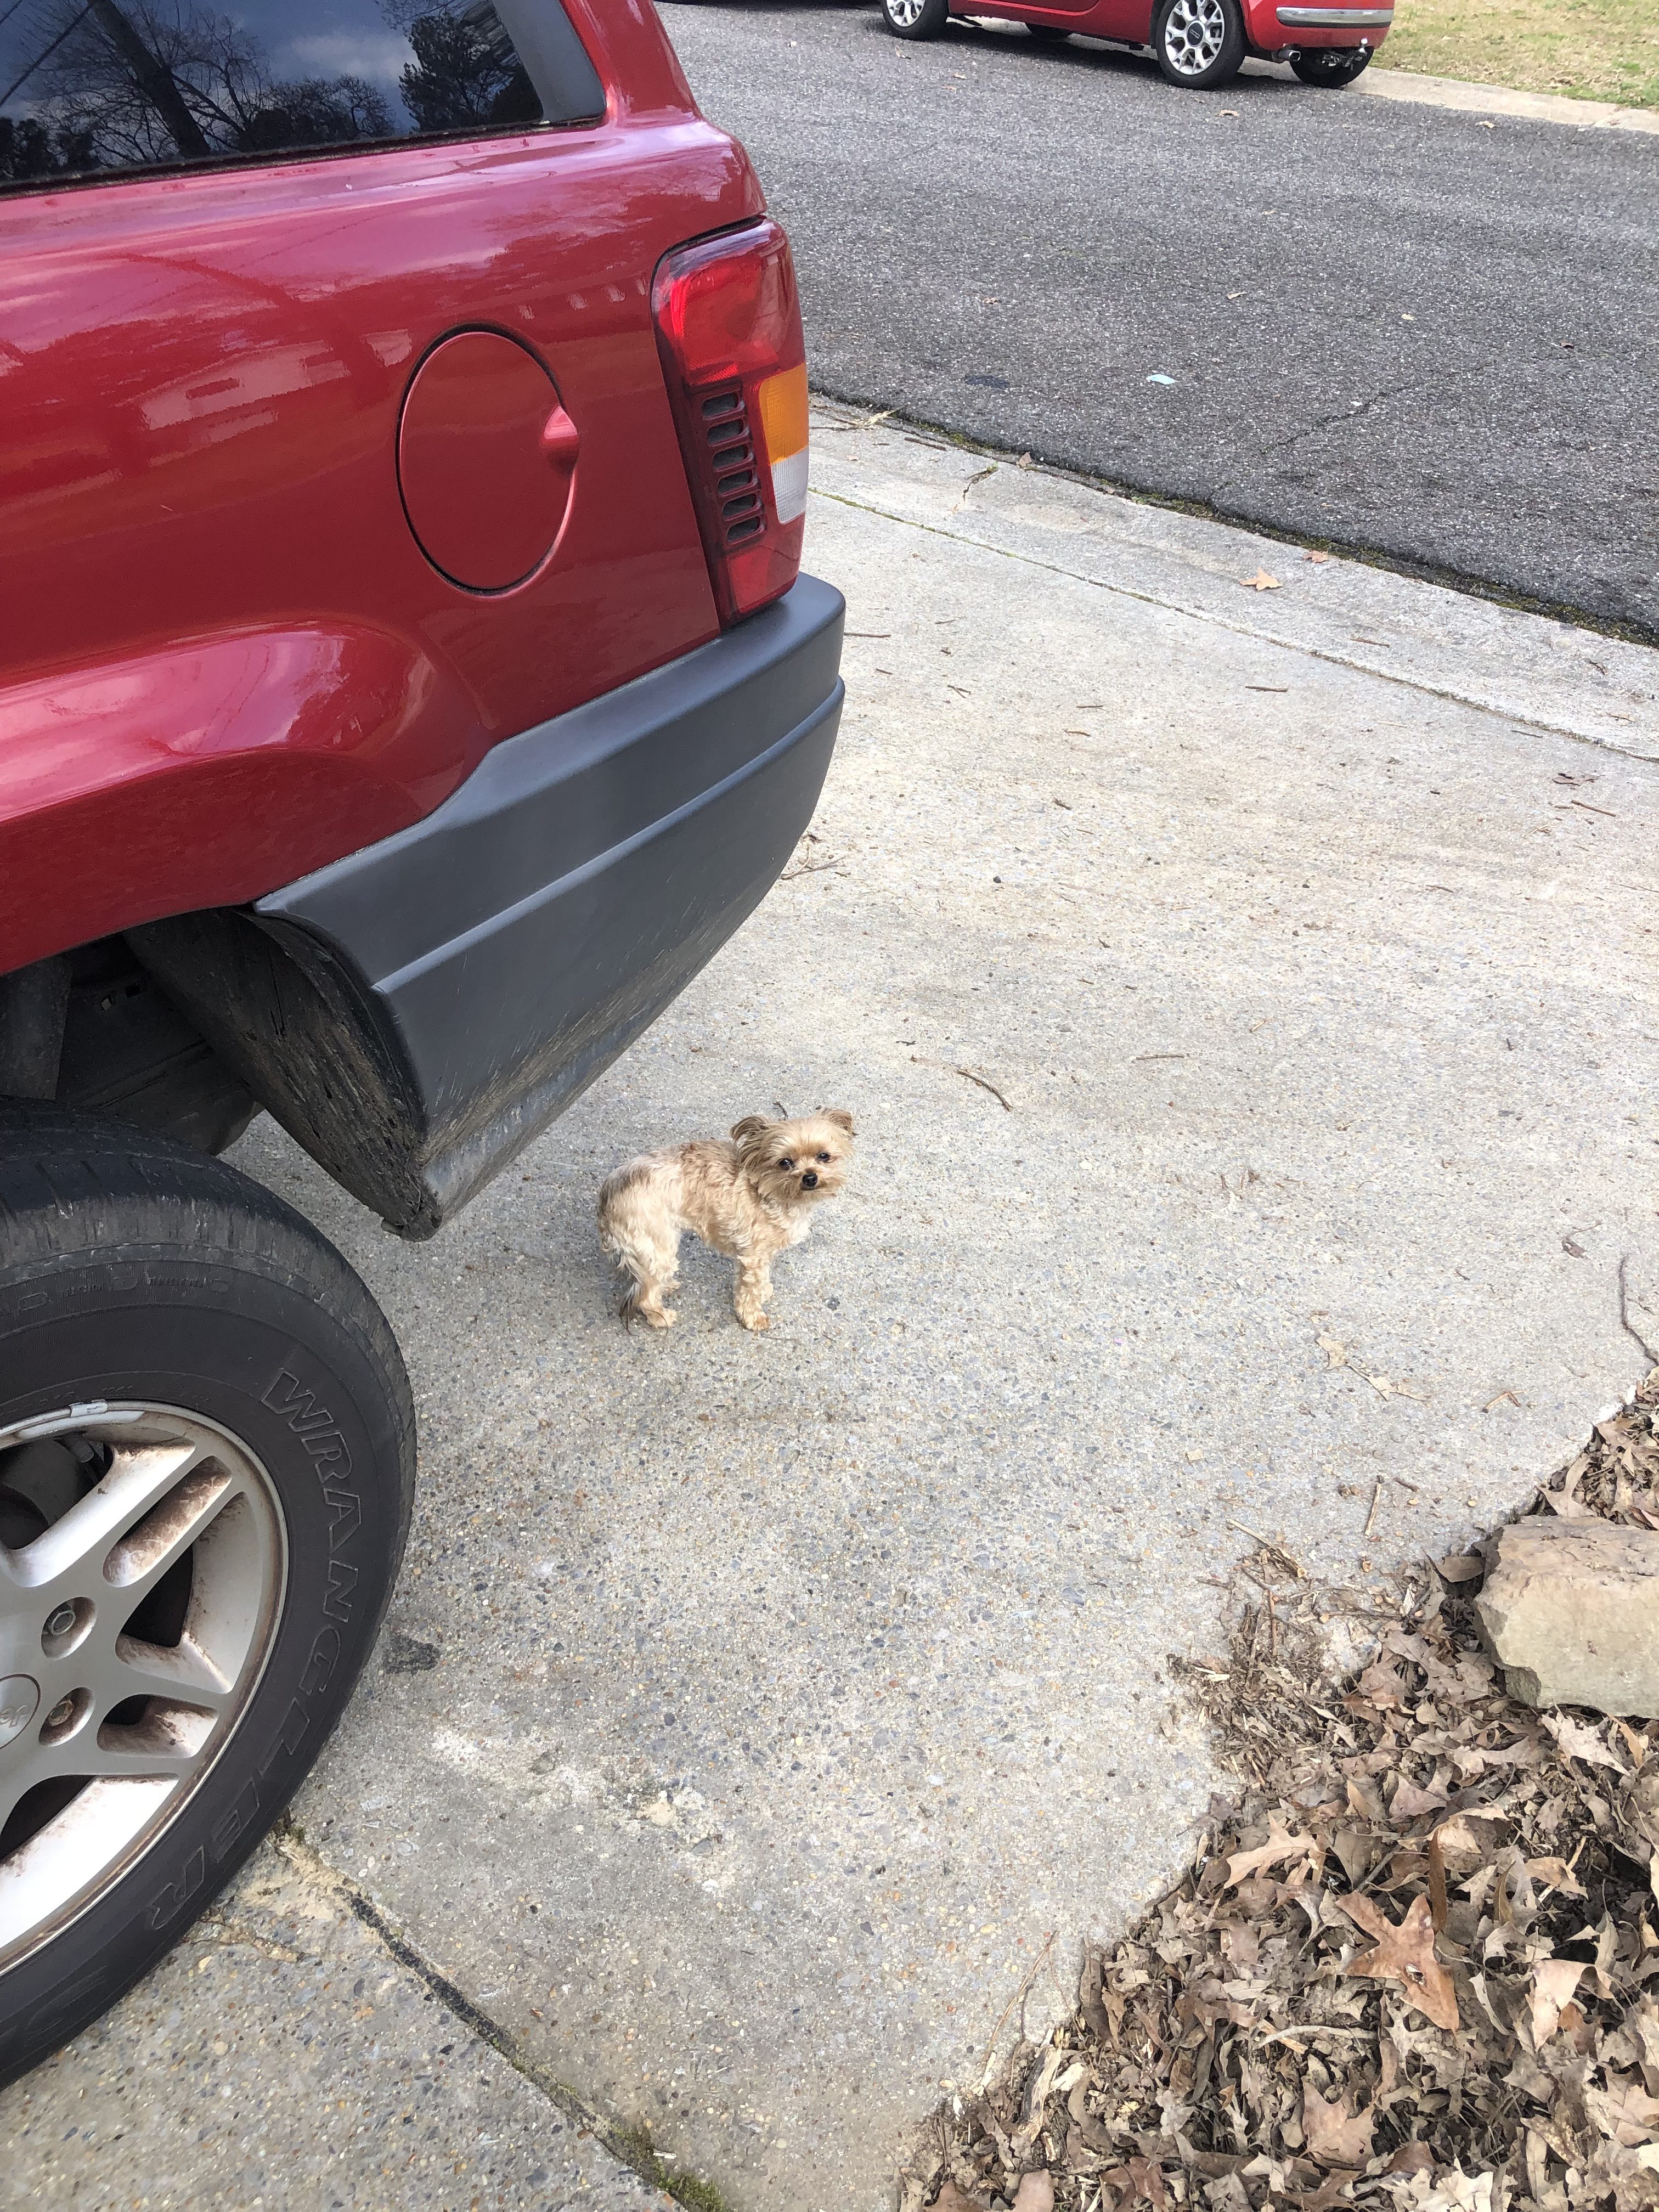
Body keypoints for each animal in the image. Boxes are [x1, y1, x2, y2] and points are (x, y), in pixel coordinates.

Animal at [597, 1106, 858, 1327]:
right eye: (785, 1162)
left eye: (824, 1156)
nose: (810, 1177)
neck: (766, 1191)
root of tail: (609, 1191)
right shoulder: (753, 1256)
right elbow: (750, 1288)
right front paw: (753, 1317)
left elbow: (760, 1279)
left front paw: (764, 1291)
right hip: (657, 1245)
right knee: (646, 1295)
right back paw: (661, 1317)